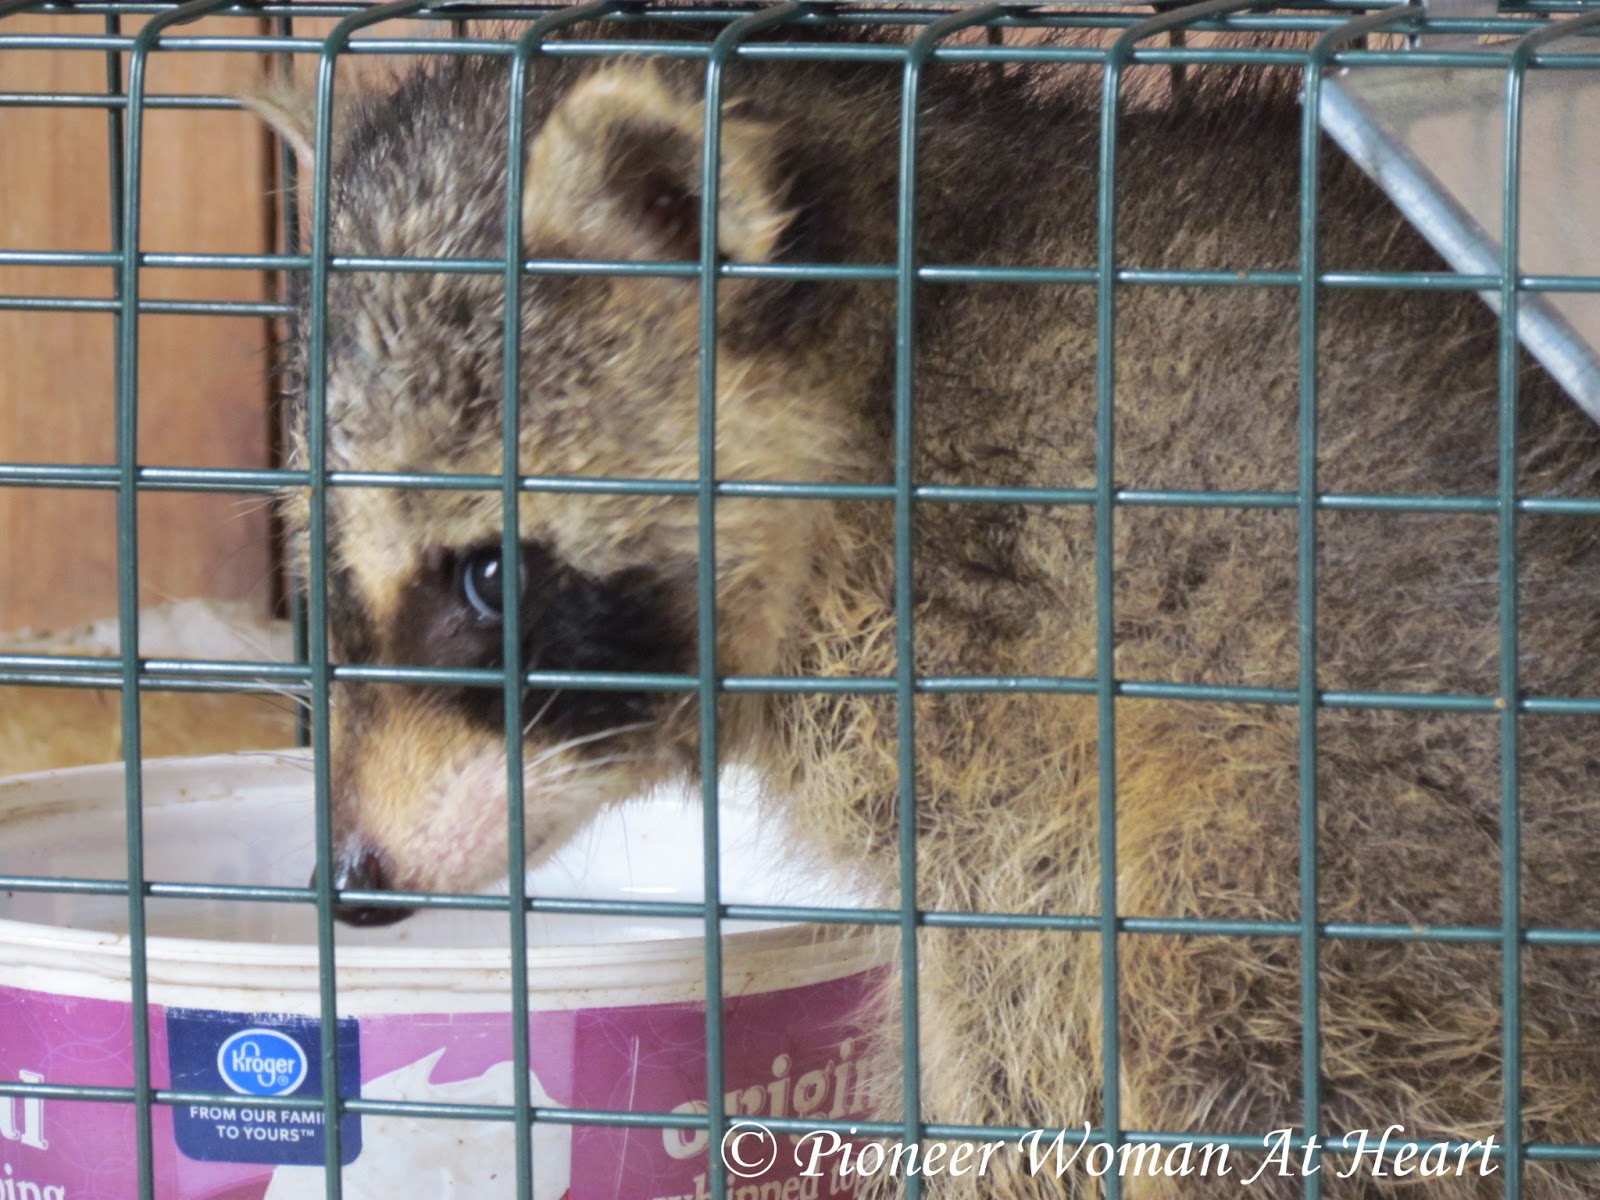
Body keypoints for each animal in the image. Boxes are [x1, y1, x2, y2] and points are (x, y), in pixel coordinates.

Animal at [256, 13, 1600, 1198]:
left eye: (488, 577)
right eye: (331, 587)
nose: (355, 882)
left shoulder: (1011, 686)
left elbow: (1032, 1025)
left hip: (1376, 809)